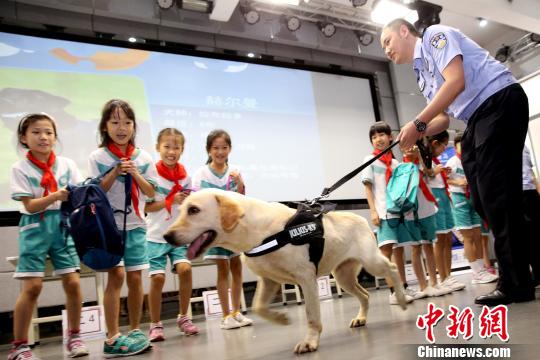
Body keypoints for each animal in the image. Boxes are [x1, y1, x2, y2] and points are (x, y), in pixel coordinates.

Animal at [163, 190, 404, 352]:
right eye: (182, 210)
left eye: (194, 210)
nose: (167, 236)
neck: (258, 231)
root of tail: (361, 218)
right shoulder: (268, 280)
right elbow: (258, 306)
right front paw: (281, 318)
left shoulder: (307, 279)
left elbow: (312, 316)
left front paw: (310, 341)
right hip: (343, 276)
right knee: (364, 294)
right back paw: (361, 318)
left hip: (372, 262)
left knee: (392, 268)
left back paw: (402, 299)